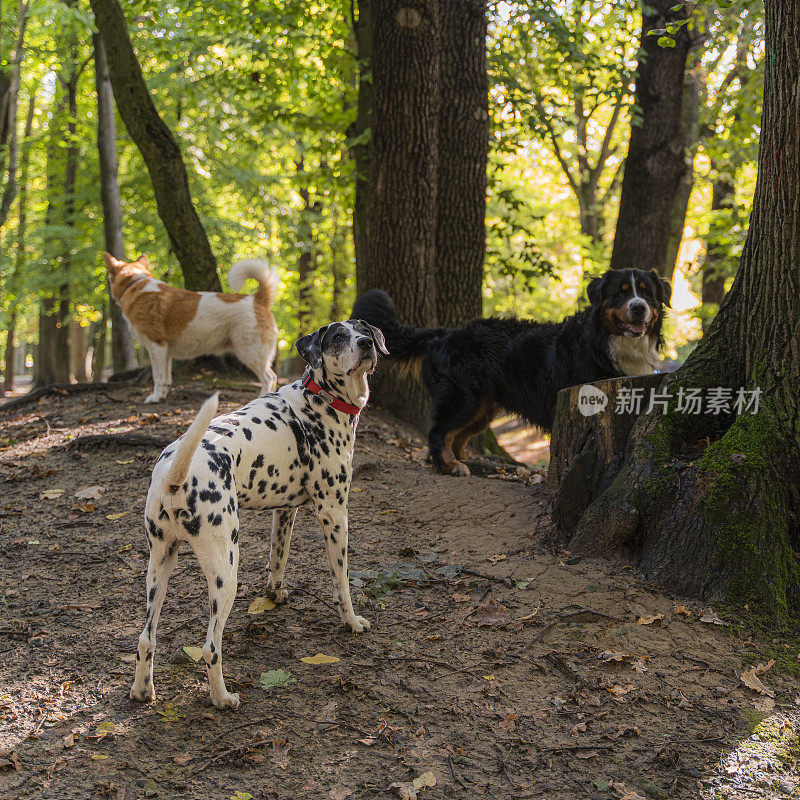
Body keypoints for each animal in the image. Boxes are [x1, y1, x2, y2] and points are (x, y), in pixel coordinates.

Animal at [104, 253, 282, 404]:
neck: (135, 283)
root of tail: (257, 299)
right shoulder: (165, 352)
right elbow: (166, 378)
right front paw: (162, 396)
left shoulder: (156, 346)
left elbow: (158, 376)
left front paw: (155, 398)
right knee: (272, 377)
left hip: (250, 352)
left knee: (269, 378)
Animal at [130, 318, 388, 708]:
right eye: (338, 337)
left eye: (364, 331)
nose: (365, 344)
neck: (320, 399)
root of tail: (175, 473)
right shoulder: (334, 515)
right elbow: (341, 581)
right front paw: (352, 622)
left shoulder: (284, 513)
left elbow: (277, 561)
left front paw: (275, 596)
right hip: (225, 570)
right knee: (210, 647)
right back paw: (223, 699)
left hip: (160, 564)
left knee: (146, 638)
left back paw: (143, 690)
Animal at [354, 272, 672, 476]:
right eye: (620, 292)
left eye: (647, 293)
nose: (639, 307)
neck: (604, 342)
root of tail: (444, 334)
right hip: (463, 399)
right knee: (439, 433)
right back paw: (449, 465)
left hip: (483, 408)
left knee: (457, 436)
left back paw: (470, 462)